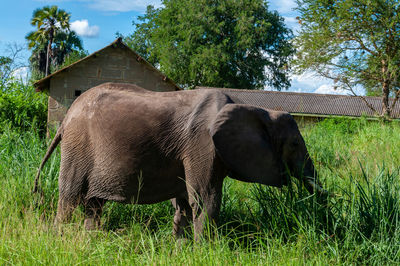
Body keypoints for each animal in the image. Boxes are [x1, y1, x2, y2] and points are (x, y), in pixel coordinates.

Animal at [34, 82, 326, 238]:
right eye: (295, 144)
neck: (258, 109)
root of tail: (65, 119)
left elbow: (186, 203)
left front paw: (183, 250)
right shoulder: (202, 145)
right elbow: (206, 200)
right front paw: (204, 252)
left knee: (93, 204)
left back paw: (91, 239)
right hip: (78, 145)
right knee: (70, 197)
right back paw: (61, 239)